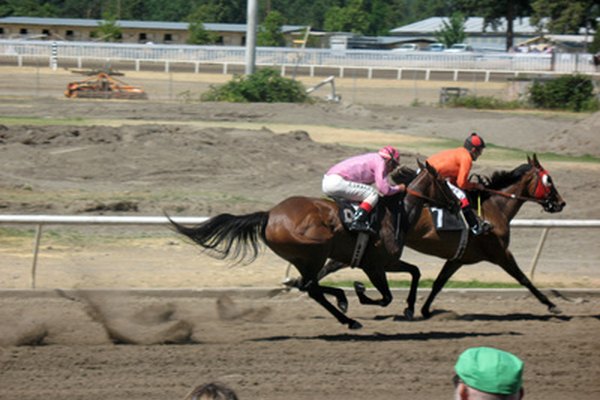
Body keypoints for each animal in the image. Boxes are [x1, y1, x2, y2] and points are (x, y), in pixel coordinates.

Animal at [166, 161, 458, 330]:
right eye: (446, 183)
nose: (458, 203)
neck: (397, 212)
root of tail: (269, 214)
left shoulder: (383, 262)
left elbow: (415, 272)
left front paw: (408, 308)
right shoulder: (375, 264)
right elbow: (386, 296)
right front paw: (362, 293)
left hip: (304, 257)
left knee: (310, 287)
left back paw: (343, 307)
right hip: (315, 250)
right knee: (311, 286)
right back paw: (347, 312)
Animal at [312, 153, 564, 318]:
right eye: (549, 180)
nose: (561, 203)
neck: (495, 208)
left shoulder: (458, 258)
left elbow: (438, 283)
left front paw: (423, 309)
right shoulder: (500, 253)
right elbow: (524, 278)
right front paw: (551, 304)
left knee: (331, 266)